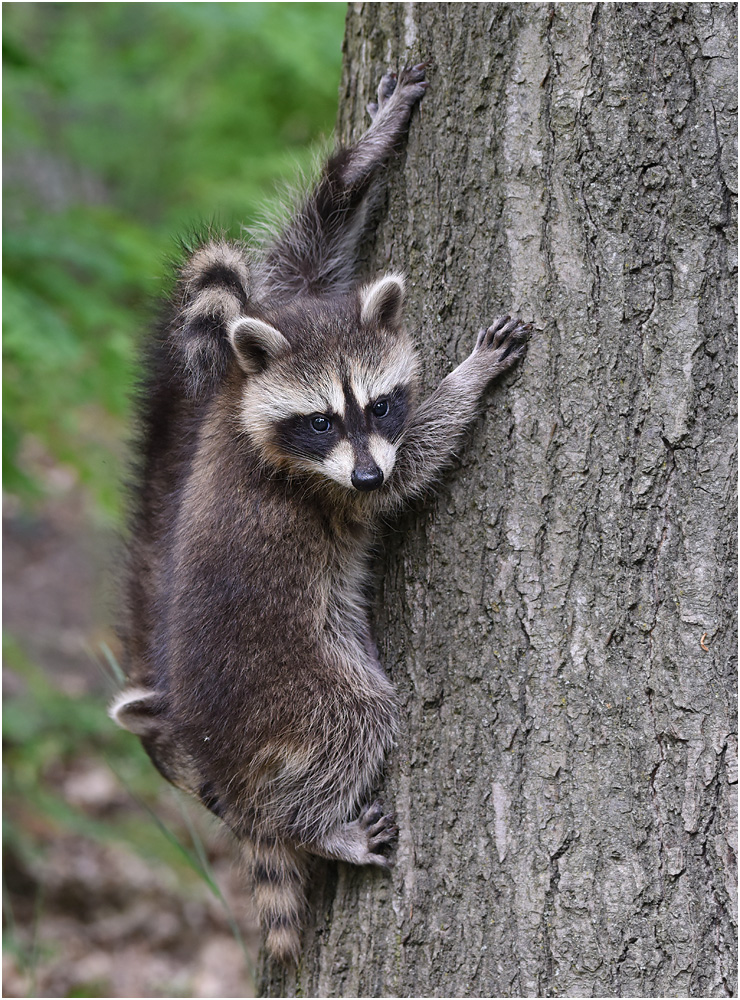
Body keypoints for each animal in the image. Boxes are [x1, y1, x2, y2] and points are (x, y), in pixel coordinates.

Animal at [110, 64, 528, 968]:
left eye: (375, 403)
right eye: (321, 421)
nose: (366, 471)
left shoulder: (292, 302)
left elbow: (317, 229)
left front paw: (368, 148)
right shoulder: (315, 479)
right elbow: (419, 462)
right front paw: (468, 378)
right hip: (296, 689)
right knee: (355, 720)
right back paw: (313, 825)